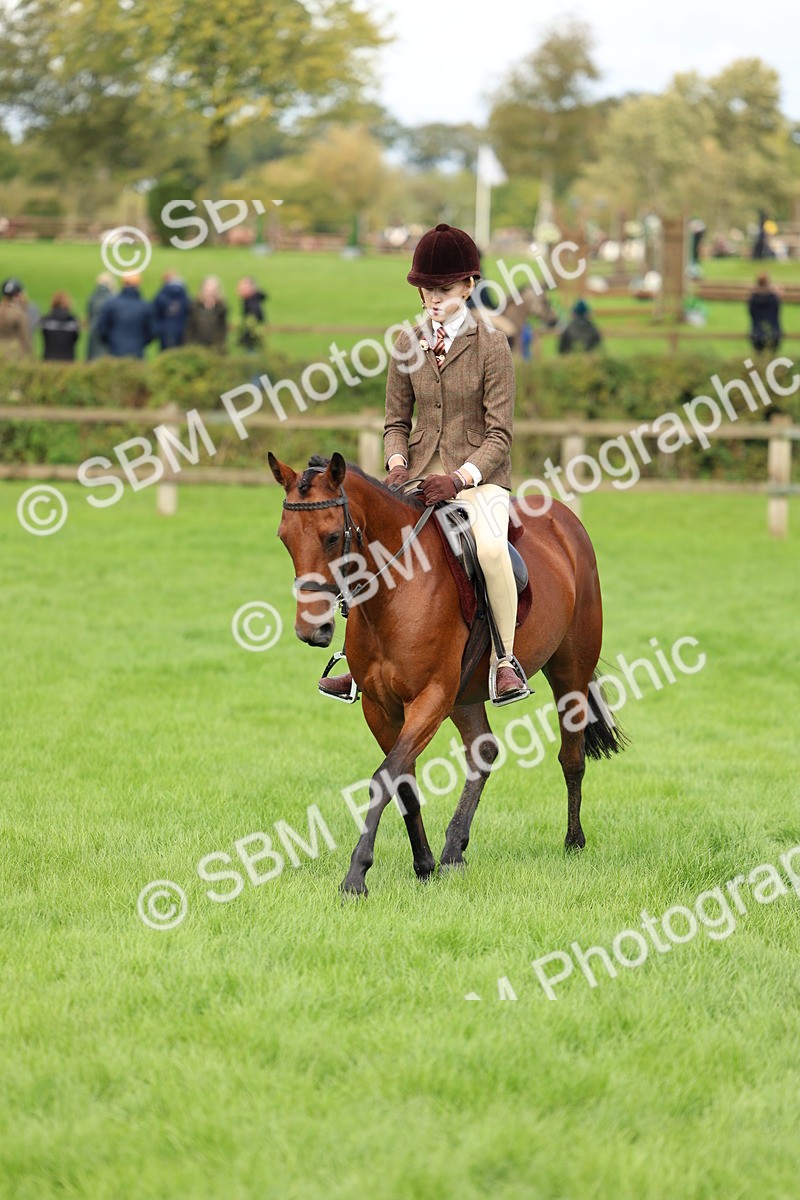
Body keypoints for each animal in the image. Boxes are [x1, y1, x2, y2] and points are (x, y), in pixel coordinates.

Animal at [269, 451, 624, 896]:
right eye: (284, 537)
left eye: (332, 537)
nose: (310, 630)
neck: (396, 590)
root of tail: (565, 520)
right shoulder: (380, 707)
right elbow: (401, 780)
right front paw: (423, 863)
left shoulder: (430, 699)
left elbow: (384, 777)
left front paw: (356, 875)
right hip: (466, 693)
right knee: (483, 750)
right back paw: (454, 849)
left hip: (569, 672)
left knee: (571, 756)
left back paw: (574, 842)